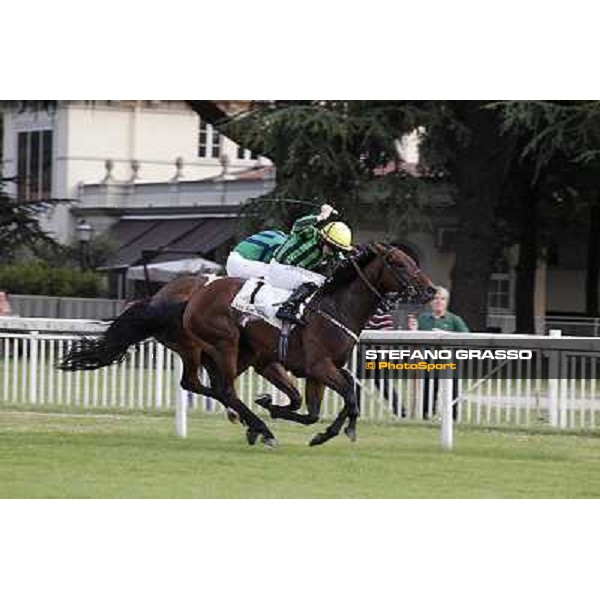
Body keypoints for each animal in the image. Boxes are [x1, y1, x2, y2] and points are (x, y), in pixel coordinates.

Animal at [180, 243, 434, 446]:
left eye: (413, 260)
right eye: (399, 263)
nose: (431, 290)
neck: (337, 308)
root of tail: (199, 294)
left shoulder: (321, 370)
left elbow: (318, 409)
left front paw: (280, 411)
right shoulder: (319, 366)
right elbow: (349, 396)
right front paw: (345, 429)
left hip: (247, 353)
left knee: (206, 385)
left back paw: (253, 425)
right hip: (226, 343)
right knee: (225, 389)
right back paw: (262, 429)